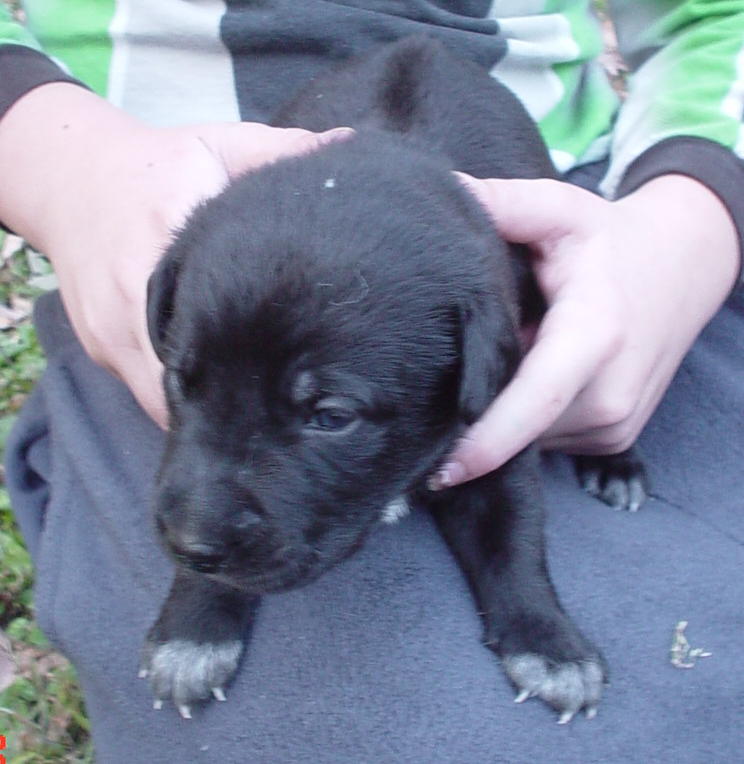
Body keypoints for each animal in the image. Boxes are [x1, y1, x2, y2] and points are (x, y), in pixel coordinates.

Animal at [142, 38, 644, 724]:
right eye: (179, 380)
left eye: (330, 417)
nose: (191, 544)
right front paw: (192, 627)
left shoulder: (503, 422)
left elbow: (512, 533)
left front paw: (548, 643)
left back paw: (618, 463)